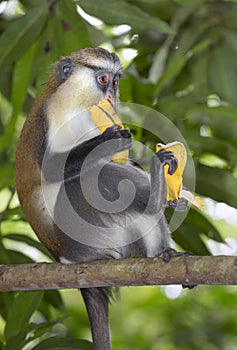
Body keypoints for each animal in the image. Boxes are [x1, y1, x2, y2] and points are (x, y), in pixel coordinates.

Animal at [15, 47, 181, 350]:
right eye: (103, 79)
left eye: (115, 81)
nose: (110, 96)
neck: (77, 103)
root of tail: (62, 257)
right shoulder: (53, 112)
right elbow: (53, 169)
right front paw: (110, 141)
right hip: (80, 235)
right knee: (87, 178)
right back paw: (156, 196)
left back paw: (161, 252)